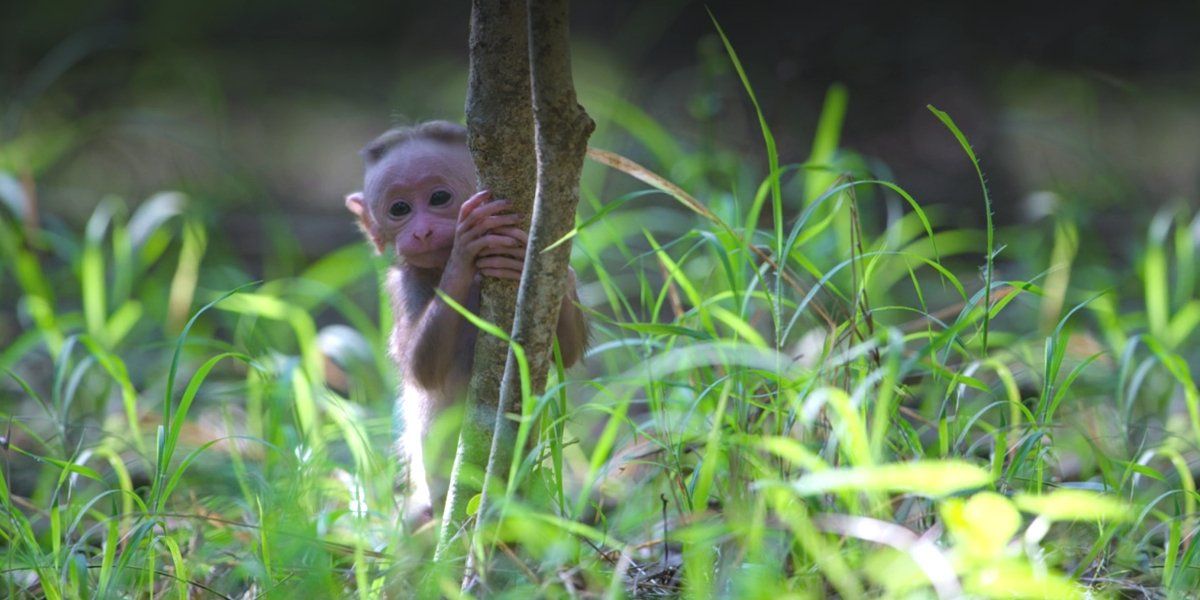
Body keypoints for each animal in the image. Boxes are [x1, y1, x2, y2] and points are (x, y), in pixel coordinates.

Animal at [343, 121, 585, 520]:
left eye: (439, 198)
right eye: (399, 209)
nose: (421, 231)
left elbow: (567, 353)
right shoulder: (400, 284)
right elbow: (420, 369)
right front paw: (464, 250)